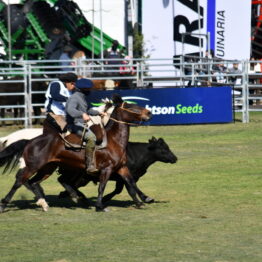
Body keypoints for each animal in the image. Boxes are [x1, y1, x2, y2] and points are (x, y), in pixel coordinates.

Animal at [0, 93, 151, 212]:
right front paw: (99, 206)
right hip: (33, 166)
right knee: (19, 181)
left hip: (47, 168)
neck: (113, 140)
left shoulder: (122, 168)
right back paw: (4, 204)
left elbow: (131, 184)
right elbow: (102, 187)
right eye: (131, 107)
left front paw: (141, 201)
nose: (149, 113)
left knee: (33, 182)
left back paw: (45, 203)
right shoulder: (106, 169)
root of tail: (29, 141)